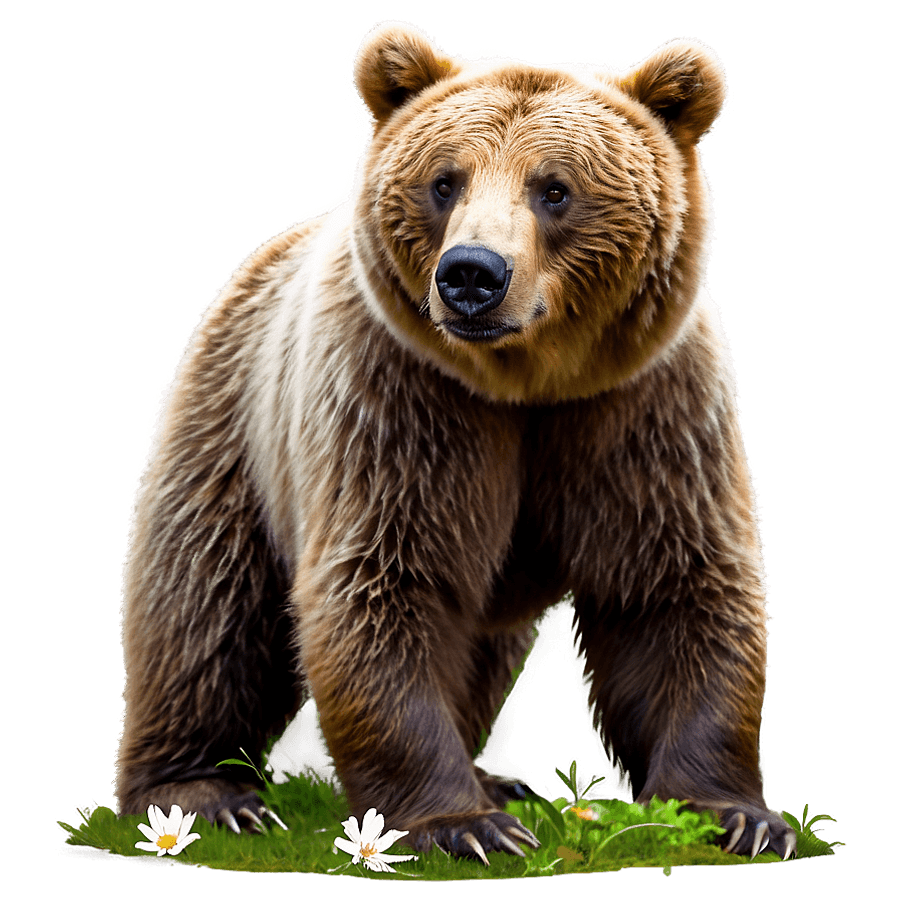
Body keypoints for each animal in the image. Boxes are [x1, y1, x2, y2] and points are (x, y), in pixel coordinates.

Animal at [114, 20, 795, 863]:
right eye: (445, 181)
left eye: (554, 188)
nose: (472, 274)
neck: (525, 387)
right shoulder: (401, 400)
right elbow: (384, 579)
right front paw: (462, 826)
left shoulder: (642, 409)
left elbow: (673, 586)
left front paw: (734, 815)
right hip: (232, 419)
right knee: (204, 606)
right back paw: (204, 792)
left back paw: (498, 779)